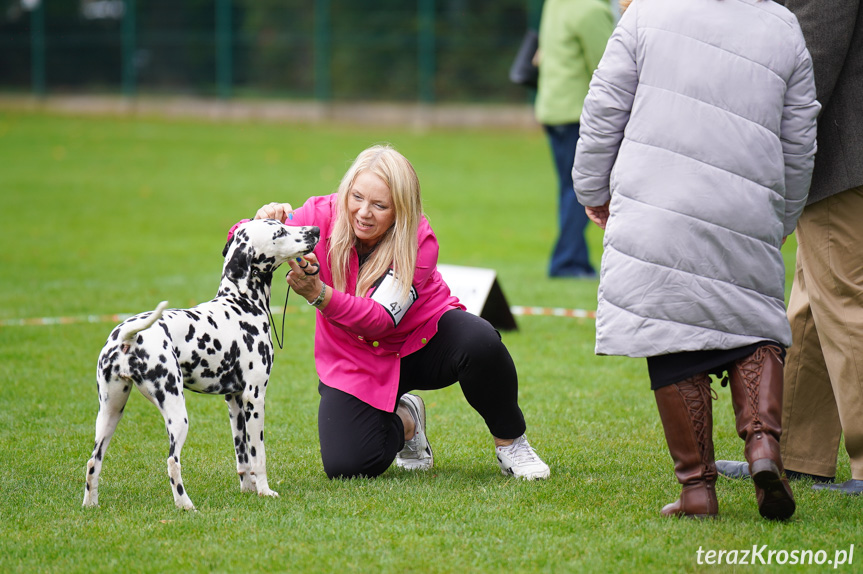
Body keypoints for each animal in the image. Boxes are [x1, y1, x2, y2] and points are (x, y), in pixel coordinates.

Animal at [83, 220, 320, 512]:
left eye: (283, 223)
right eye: (279, 232)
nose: (316, 230)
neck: (241, 303)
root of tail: (128, 336)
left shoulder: (234, 401)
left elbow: (242, 457)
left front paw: (248, 490)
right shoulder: (255, 398)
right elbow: (258, 456)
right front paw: (264, 491)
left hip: (110, 413)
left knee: (93, 462)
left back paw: (90, 504)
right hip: (176, 413)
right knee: (172, 462)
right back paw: (185, 505)